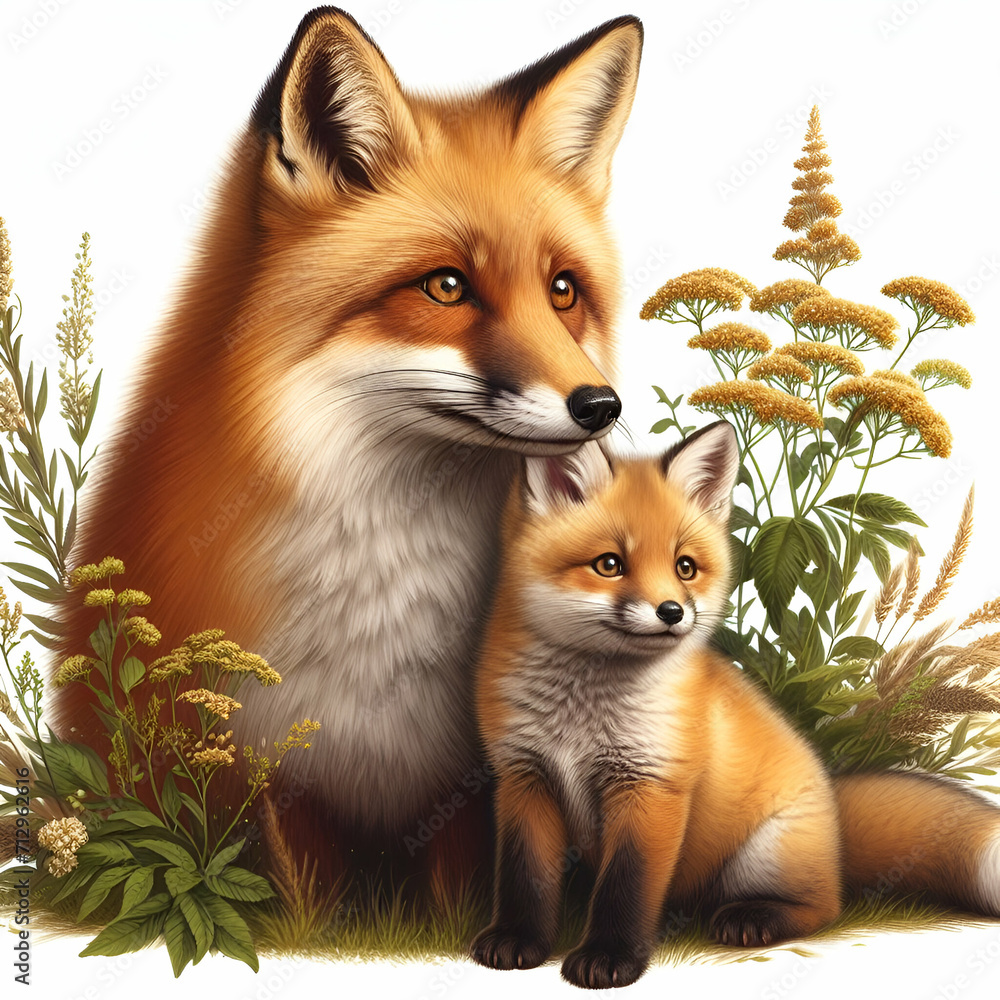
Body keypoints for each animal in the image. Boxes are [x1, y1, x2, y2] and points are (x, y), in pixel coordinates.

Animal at [52, 7, 643, 896]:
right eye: (446, 286)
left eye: (563, 291)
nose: (600, 407)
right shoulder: (272, 770)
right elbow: (304, 898)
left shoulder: (465, 785)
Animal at [471, 421, 1000, 989]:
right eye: (609, 564)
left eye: (685, 567)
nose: (672, 612)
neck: (581, 715)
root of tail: (832, 810)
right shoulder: (524, 777)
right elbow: (524, 877)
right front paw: (517, 941)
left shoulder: (653, 785)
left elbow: (626, 887)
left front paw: (610, 958)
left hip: (763, 858)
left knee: (825, 905)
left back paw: (756, 917)